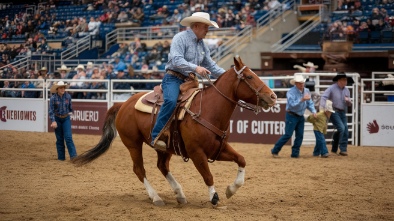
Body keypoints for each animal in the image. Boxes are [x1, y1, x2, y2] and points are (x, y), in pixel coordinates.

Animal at [73, 56, 278, 207]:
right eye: (249, 77)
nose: (273, 96)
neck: (209, 110)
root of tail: (123, 104)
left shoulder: (218, 149)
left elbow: (241, 159)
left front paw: (231, 189)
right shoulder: (197, 153)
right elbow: (208, 175)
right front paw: (214, 197)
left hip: (165, 147)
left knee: (162, 166)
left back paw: (179, 194)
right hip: (133, 144)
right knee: (139, 169)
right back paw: (156, 197)